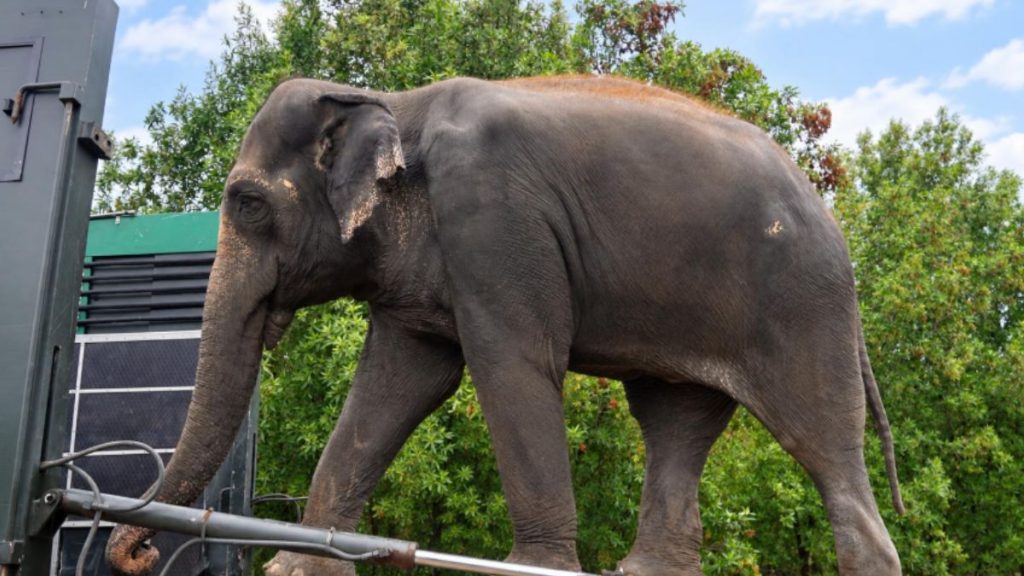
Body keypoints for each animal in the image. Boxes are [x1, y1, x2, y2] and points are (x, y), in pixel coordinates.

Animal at [106, 74, 904, 576]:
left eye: (246, 202)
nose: (137, 553)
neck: (391, 101)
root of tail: (832, 220)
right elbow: (398, 383)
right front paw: (298, 567)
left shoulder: (493, 221)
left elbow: (511, 365)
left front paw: (535, 567)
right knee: (673, 424)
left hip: (803, 305)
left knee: (823, 445)